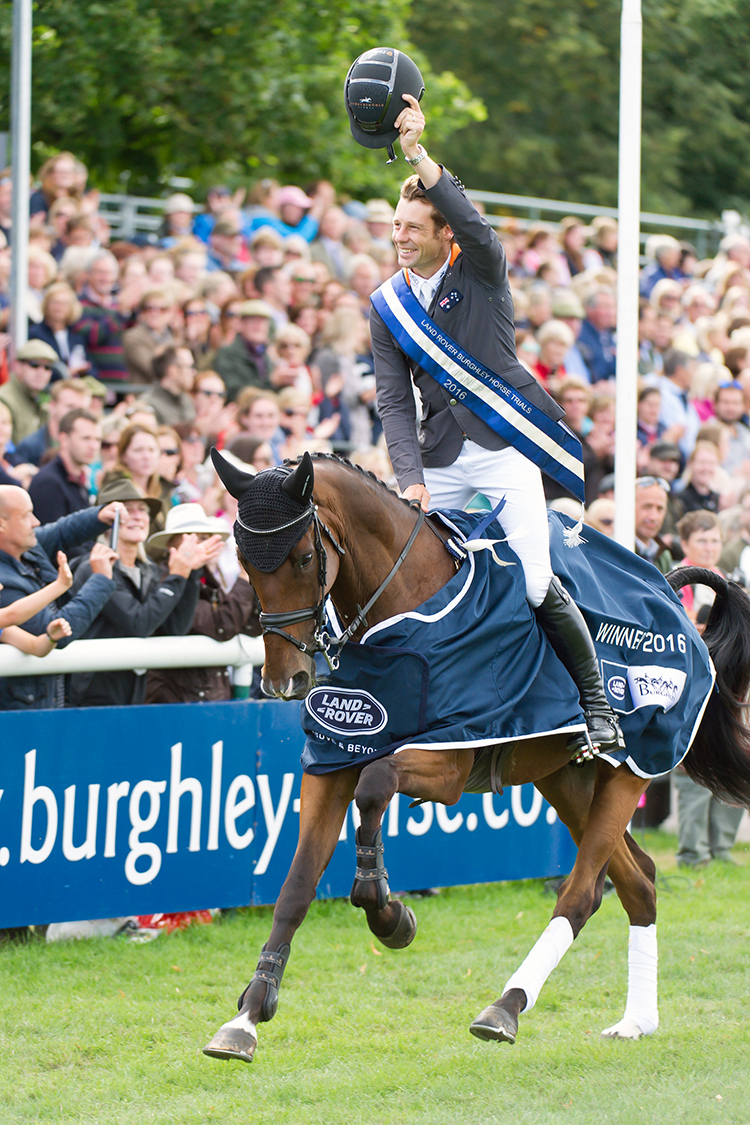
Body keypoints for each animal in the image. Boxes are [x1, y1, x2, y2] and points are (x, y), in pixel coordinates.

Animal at [201, 450, 750, 1062]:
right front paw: (247, 1016)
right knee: (640, 881)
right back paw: (636, 1021)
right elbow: (296, 886)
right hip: (568, 779)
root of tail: (668, 592)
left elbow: (376, 783)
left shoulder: (448, 758)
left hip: (629, 772)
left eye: (301, 558)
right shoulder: (331, 759)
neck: (404, 604)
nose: (284, 681)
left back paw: (506, 1007)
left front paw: (386, 910)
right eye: (243, 563)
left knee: (582, 893)